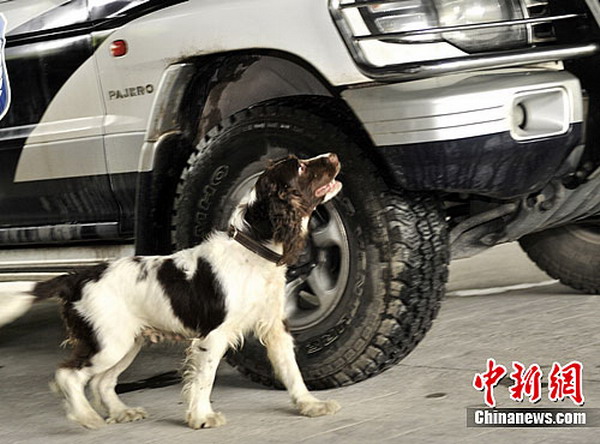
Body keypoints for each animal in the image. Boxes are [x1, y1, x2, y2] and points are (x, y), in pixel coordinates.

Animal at [0, 153, 342, 430]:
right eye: (301, 167)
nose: (334, 156)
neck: (253, 250)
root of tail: (76, 277)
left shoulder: (275, 328)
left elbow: (291, 370)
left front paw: (310, 405)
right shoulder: (212, 336)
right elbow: (204, 380)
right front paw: (202, 417)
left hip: (127, 343)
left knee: (102, 382)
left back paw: (121, 412)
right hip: (107, 342)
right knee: (69, 375)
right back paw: (86, 416)